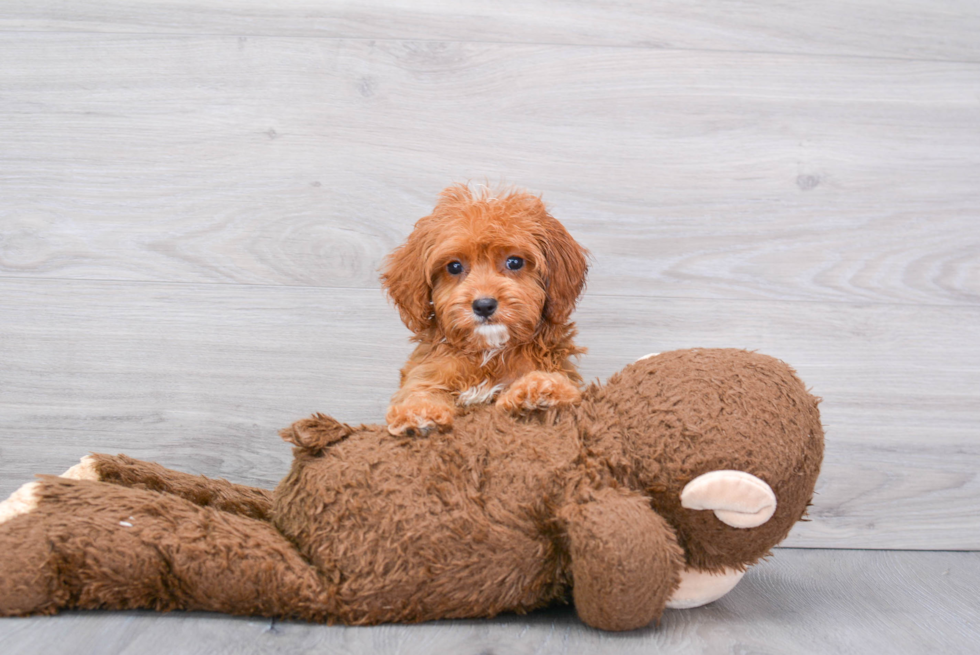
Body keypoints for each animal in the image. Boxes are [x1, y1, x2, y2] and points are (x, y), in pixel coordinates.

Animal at [382, 184, 588, 438]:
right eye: (454, 266)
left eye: (514, 262)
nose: (484, 305)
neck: (488, 352)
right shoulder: (427, 372)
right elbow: (419, 390)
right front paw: (417, 413)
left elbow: (559, 383)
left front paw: (538, 389)